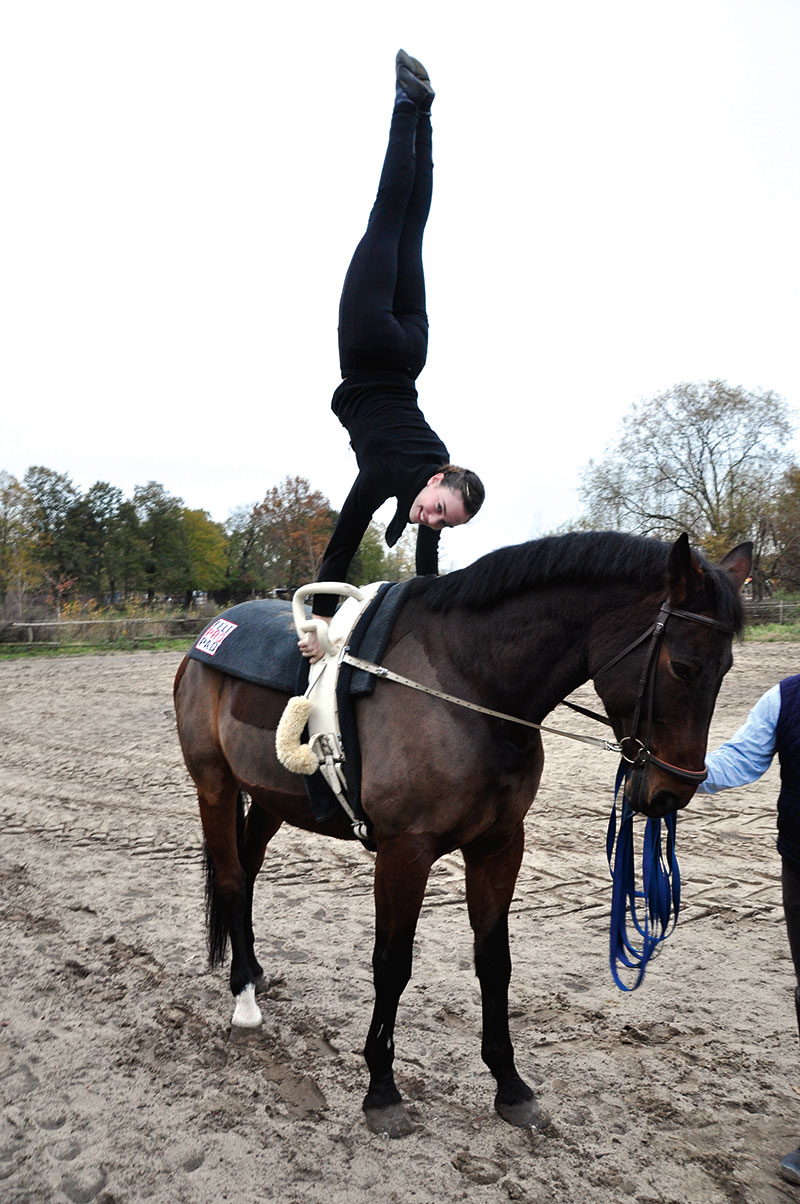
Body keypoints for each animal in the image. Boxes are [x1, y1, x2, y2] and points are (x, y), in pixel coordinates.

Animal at [173, 529, 751, 1136]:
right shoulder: (405, 851)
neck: (470, 685)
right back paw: (244, 1001)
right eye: (682, 666)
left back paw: (254, 973)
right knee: (231, 879)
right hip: (214, 786)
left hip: (269, 799)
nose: (672, 792)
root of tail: (210, 636)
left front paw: (509, 1084)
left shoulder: (499, 845)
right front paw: (382, 1090)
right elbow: (392, 963)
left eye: (726, 667)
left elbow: (494, 960)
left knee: (248, 873)